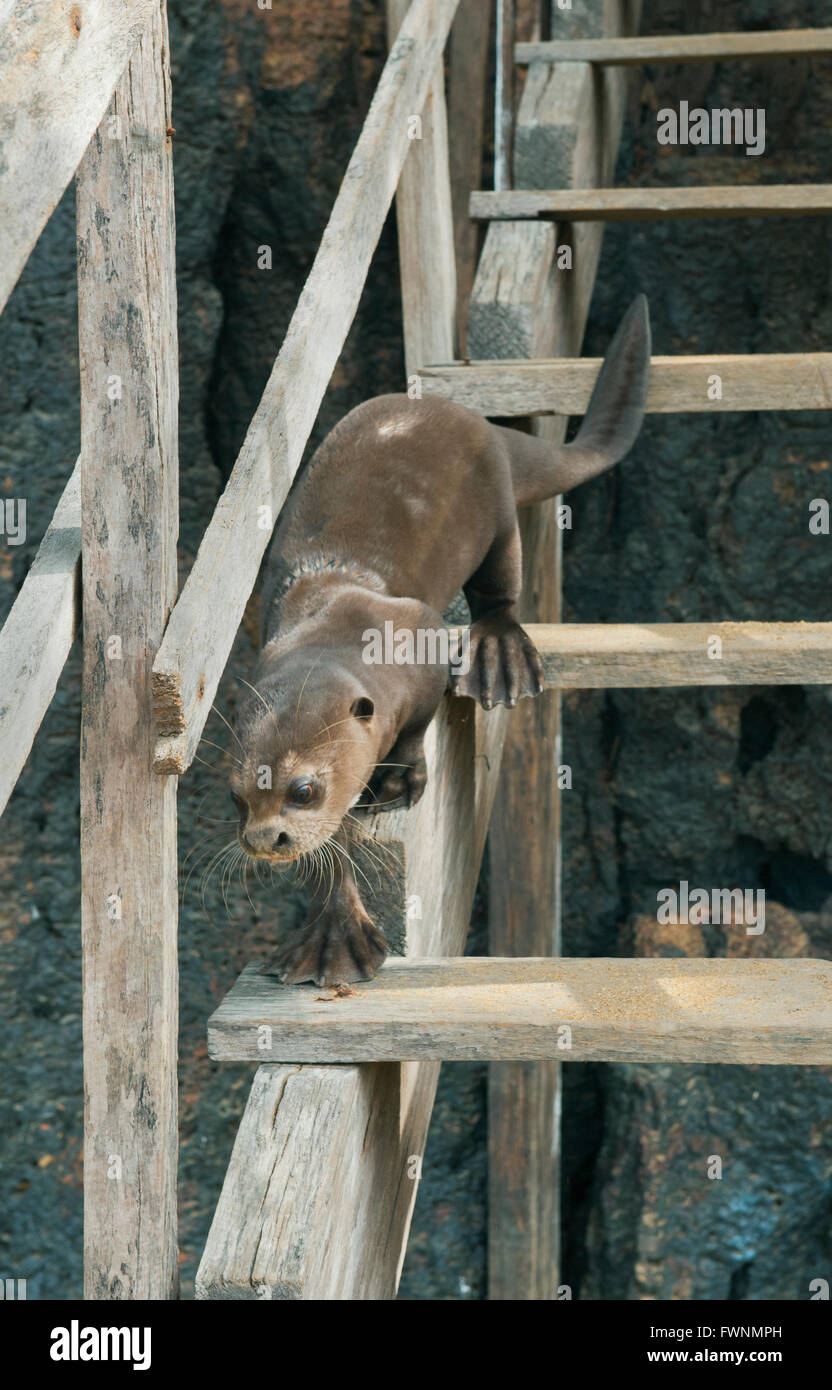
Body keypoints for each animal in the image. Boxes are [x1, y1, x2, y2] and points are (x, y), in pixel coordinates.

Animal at [229, 296, 651, 985]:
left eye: (303, 790)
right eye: (237, 797)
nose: (265, 840)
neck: (337, 622)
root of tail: (477, 420)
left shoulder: (418, 637)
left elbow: (415, 725)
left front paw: (399, 781)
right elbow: (327, 854)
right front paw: (331, 933)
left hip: (495, 506)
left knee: (501, 585)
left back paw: (499, 651)